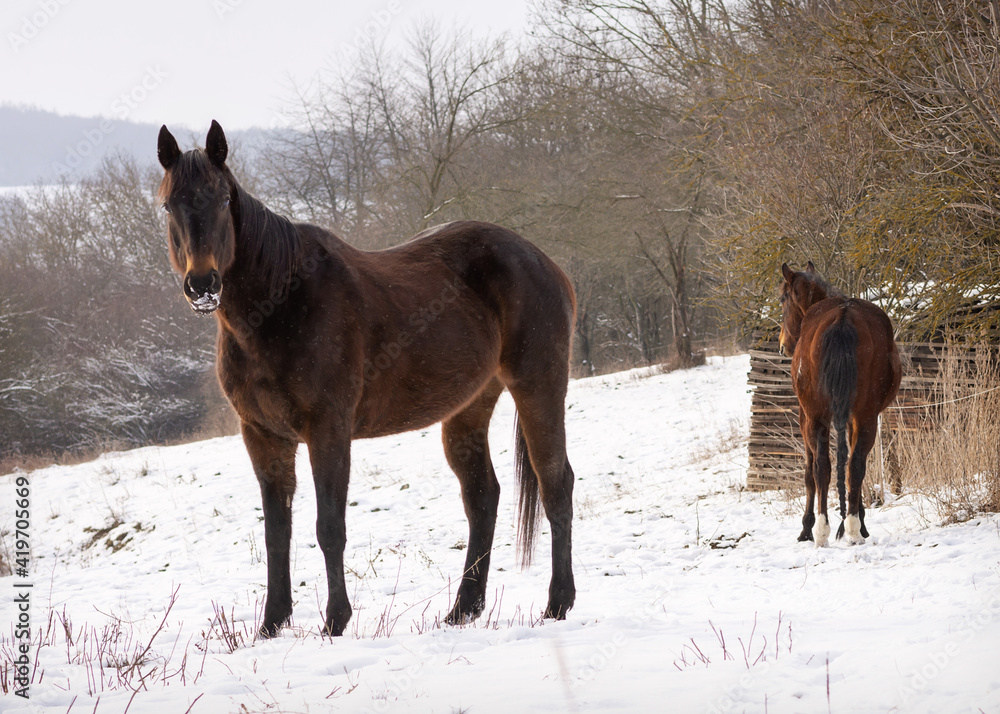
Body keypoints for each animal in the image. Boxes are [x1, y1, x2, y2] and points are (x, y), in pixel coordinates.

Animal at [157, 121, 580, 636]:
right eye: (169, 205)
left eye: (221, 199)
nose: (202, 285)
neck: (279, 303)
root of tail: (544, 262)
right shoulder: (262, 436)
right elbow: (277, 531)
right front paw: (272, 623)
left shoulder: (328, 430)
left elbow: (328, 527)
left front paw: (335, 622)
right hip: (468, 409)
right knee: (483, 497)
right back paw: (462, 609)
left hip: (539, 388)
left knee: (556, 483)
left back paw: (557, 604)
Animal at [776, 262, 904, 544]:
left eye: (782, 299)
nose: (782, 345)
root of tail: (843, 318)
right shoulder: (853, 418)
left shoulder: (805, 417)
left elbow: (809, 473)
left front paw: (806, 528)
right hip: (864, 416)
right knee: (853, 465)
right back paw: (854, 528)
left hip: (816, 417)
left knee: (821, 467)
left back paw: (824, 529)